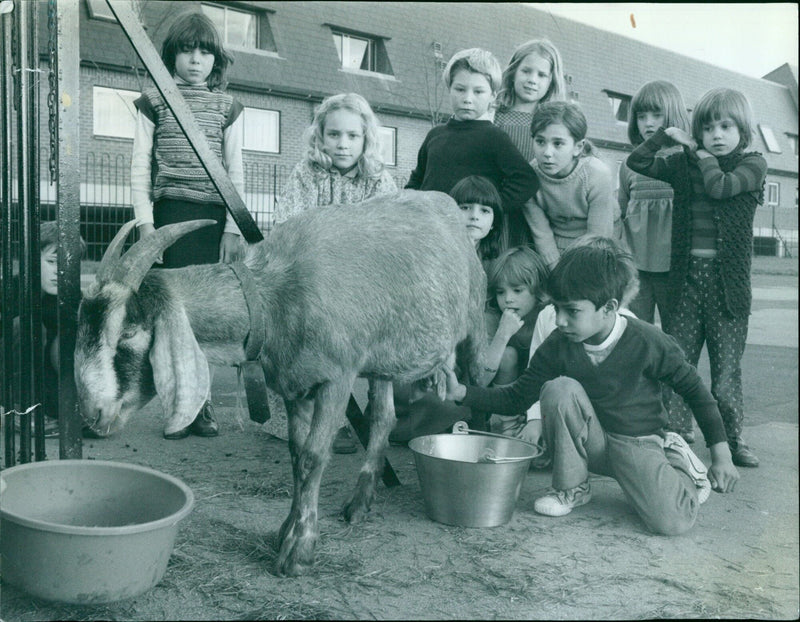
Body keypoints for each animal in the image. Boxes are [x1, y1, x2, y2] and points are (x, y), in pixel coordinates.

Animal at [75, 189, 488, 576]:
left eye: (128, 333)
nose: (93, 414)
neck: (273, 294)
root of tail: (448, 206)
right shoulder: (296, 385)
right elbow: (295, 455)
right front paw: (286, 530)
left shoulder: (337, 379)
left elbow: (312, 457)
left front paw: (299, 551)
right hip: (382, 361)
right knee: (383, 418)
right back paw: (359, 504)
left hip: (473, 323)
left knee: (477, 377)